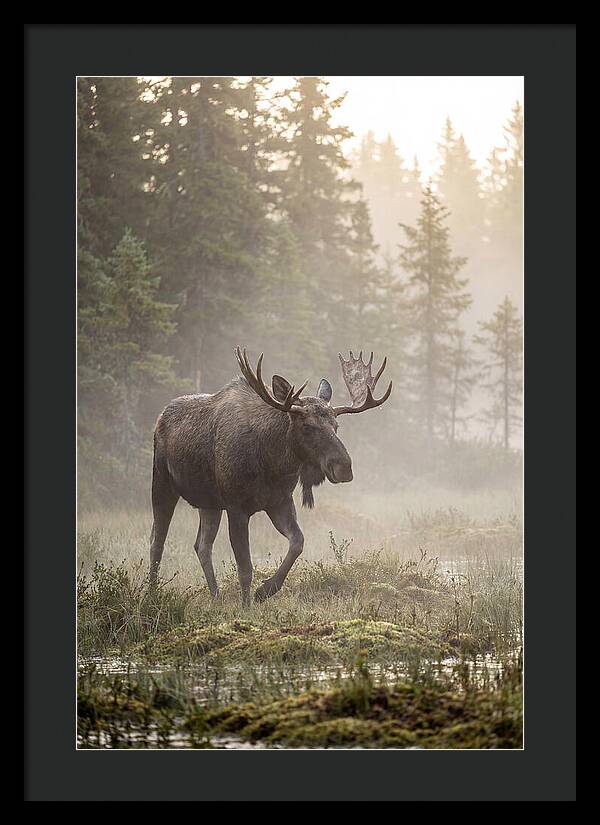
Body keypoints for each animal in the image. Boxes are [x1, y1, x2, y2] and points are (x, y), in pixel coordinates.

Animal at [149, 347, 392, 604]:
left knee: (202, 545)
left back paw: (215, 596)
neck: (272, 464)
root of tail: (160, 417)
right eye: (307, 426)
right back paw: (152, 593)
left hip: (209, 503)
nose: (344, 467)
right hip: (162, 483)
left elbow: (298, 542)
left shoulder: (279, 501)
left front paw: (265, 590)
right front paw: (246, 606)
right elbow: (245, 568)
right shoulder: (236, 507)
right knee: (157, 540)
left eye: (336, 426)